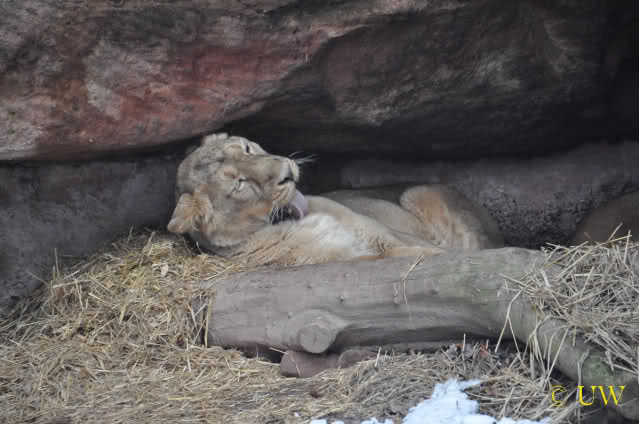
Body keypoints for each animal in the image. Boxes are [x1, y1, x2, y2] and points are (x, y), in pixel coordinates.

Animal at [167, 133, 504, 266]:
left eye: (248, 149)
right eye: (240, 184)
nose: (286, 173)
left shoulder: (386, 237)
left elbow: (431, 251)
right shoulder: (354, 258)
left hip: (416, 193)